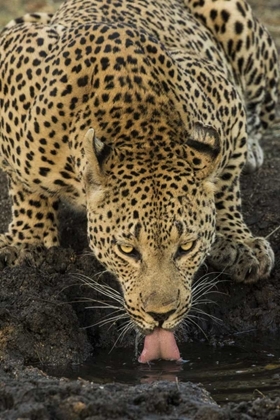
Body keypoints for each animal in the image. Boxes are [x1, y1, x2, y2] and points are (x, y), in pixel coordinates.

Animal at [0, 0, 278, 358]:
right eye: (128, 250)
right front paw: (28, 241)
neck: (142, 130)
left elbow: (226, 175)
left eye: (186, 247)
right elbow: (26, 187)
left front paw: (239, 242)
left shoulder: (220, 89)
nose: (160, 315)